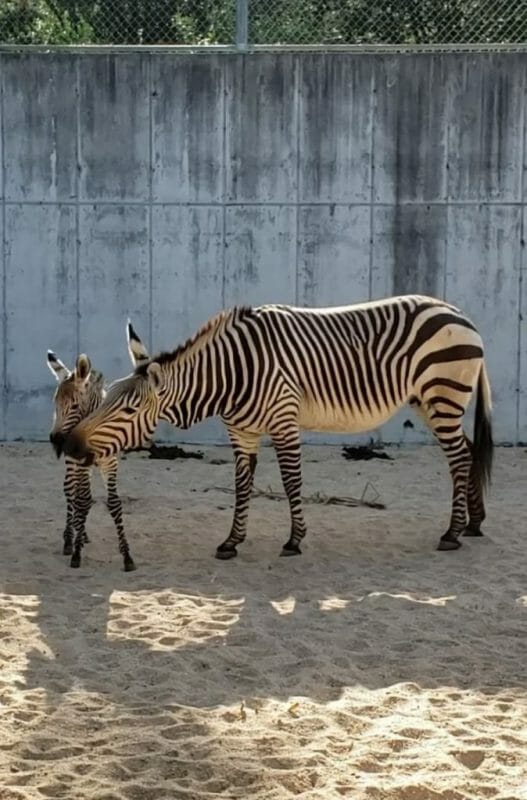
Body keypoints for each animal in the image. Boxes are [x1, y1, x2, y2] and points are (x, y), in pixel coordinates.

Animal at [65, 296, 496, 564]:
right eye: (105, 396)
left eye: (130, 408)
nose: (69, 444)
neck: (231, 375)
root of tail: (461, 313)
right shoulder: (241, 432)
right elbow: (241, 486)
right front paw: (232, 541)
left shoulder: (284, 420)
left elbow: (291, 481)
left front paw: (294, 539)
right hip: (429, 401)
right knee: (467, 451)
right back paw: (473, 523)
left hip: (443, 393)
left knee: (459, 456)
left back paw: (453, 532)